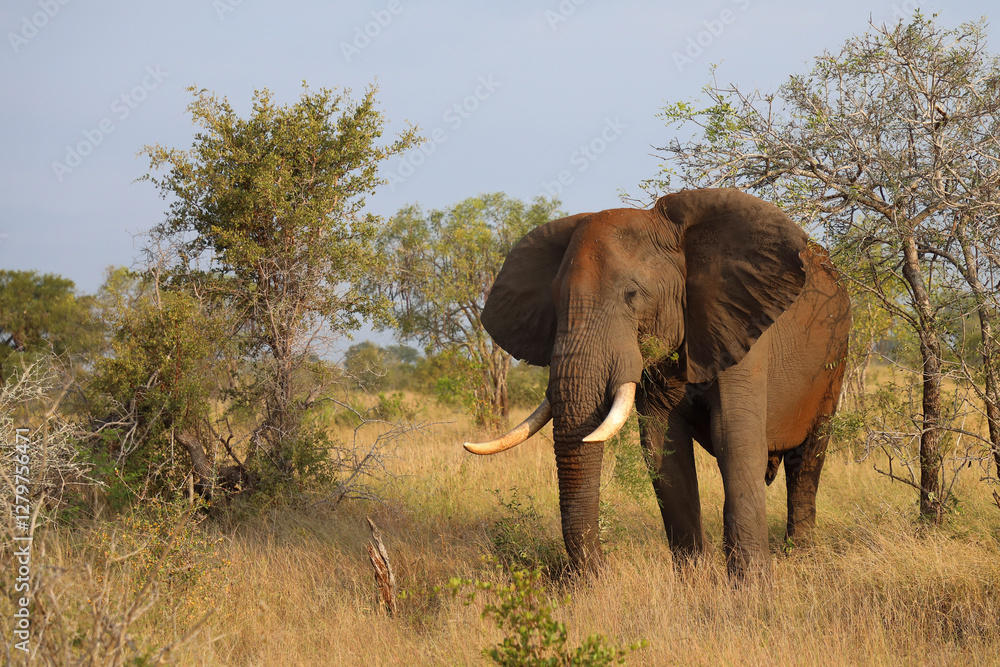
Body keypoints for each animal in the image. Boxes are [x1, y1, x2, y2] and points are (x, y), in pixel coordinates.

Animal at [464, 188, 852, 576]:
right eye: (554, 303)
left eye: (632, 295)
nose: (601, 574)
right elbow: (662, 447)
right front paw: (694, 580)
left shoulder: (741, 324)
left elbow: (734, 439)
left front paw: (751, 585)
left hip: (836, 356)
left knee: (808, 458)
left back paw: (801, 558)